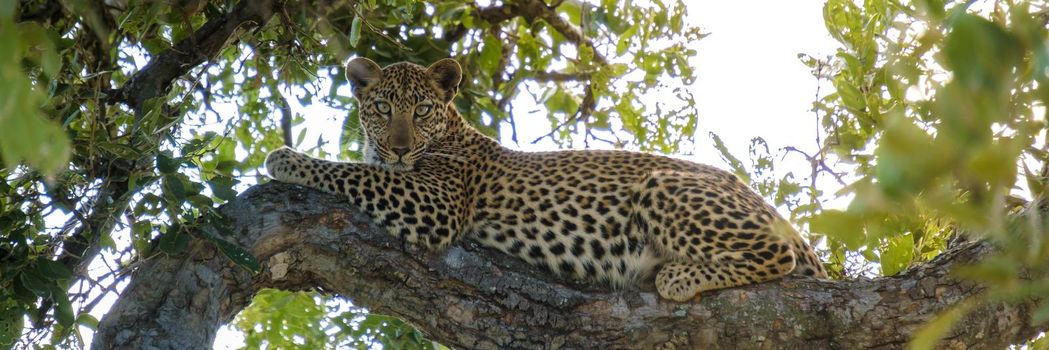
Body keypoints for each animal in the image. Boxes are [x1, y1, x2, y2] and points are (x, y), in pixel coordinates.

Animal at [264, 56, 826, 301]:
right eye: (382, 108)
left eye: (421, 110)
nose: (400, 147)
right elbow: (364, 168)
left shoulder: (436, 201)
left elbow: (353, 172)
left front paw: (287, 159)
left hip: (665, 185)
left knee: (777, 256)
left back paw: (677, 277)